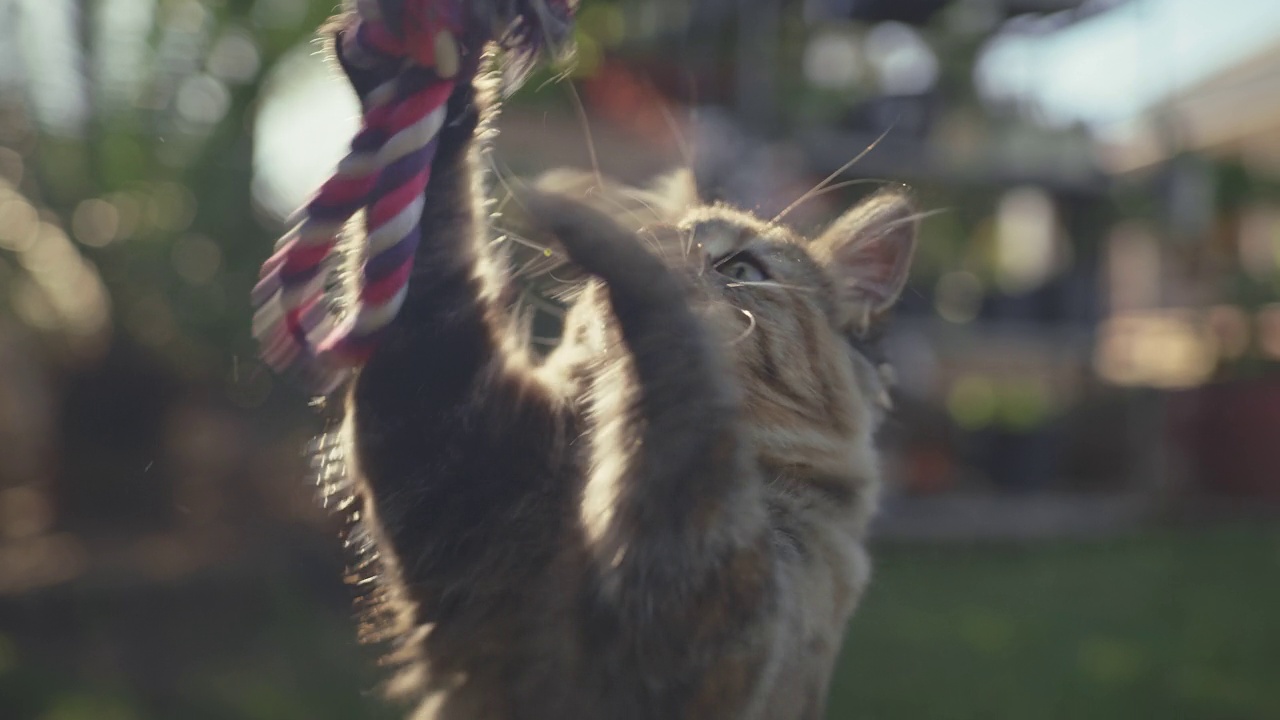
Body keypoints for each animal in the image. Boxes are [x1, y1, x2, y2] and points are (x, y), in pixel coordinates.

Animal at [318, 37, 921, 717]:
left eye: (742, 268)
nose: (667, 243)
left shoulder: (699, 624)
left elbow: (687, 400)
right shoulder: (448, 441)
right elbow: (429, 248)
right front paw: (425, 81)